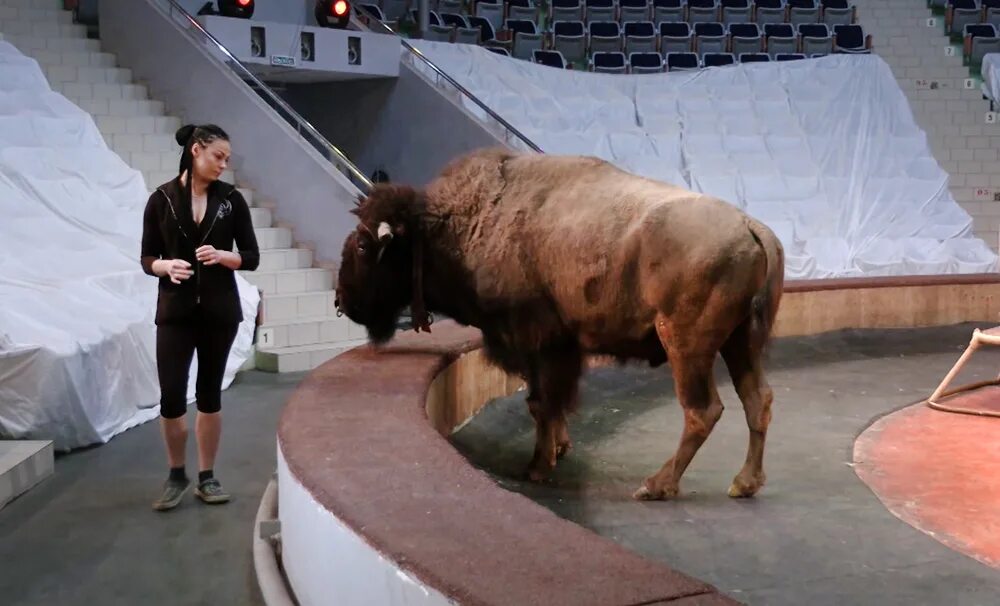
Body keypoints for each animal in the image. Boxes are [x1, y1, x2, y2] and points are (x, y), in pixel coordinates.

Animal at [332, 148, 784, 504]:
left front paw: (536, 466)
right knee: (756, 400)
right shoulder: (561, 348)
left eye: (363, 245)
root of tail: (752, 227)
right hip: (742, 343)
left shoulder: (534, 342)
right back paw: (744, 483)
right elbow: (555, 402)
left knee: (702, 410)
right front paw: (561, 447)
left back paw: (655, 486)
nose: (341, 300)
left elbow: (539, 403)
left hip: (687, 347)